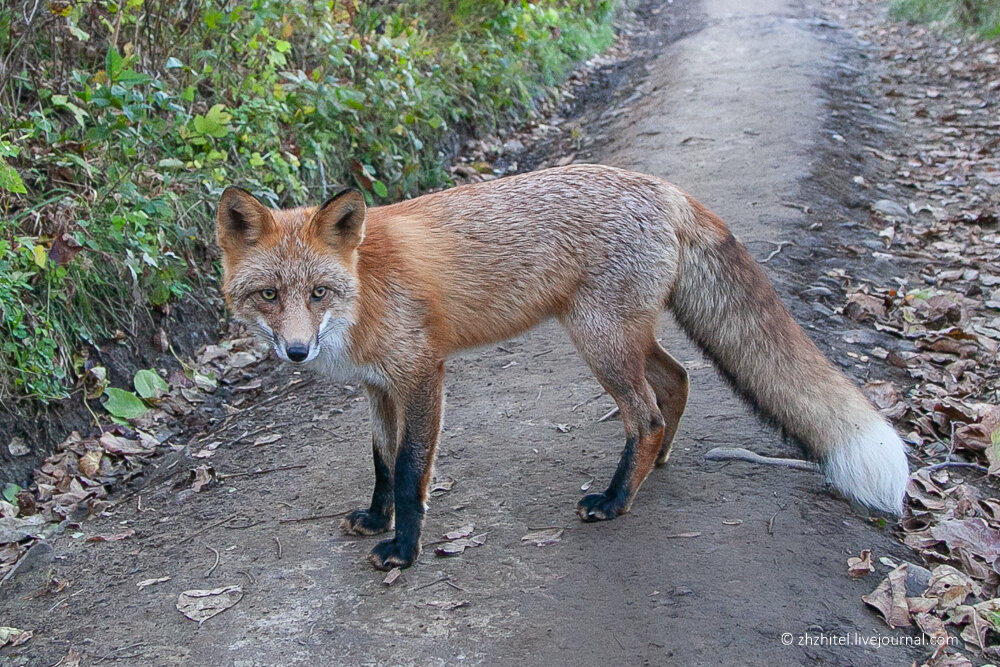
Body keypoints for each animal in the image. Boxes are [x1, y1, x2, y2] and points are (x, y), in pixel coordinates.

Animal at [219, 166, 916, 568]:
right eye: (269, 295)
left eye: (318, 293)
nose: (297, 351)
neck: (364, 289)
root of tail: (666, 188)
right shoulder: (377, 388)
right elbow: (383, 464)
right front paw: (376, 518)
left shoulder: (421, 375)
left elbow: (414, 469)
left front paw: (405, 549)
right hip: (618, 336)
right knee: (676, 382)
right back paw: (652, 471)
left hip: (598, 340)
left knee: (646, 414)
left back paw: (615, 501)